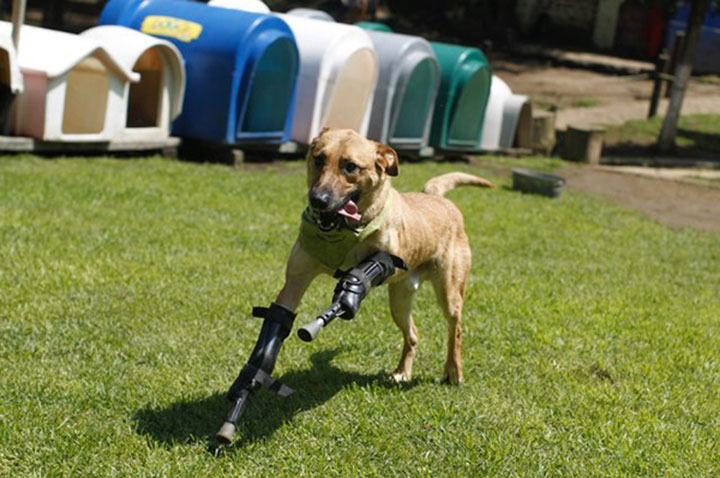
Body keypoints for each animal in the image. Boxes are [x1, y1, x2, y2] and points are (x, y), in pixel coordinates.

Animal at [272, 127, 492, 384]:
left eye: (351, 167)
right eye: (319, 159)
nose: (318, 199)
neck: (345, 232)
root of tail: (438, 197)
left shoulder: (389, 258)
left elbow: (371, 266)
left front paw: (353, 286)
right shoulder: (295, 281)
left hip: (450, 293)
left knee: (455, 329)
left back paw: (453, 371)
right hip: (399, 302)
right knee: (413, 334)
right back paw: (402, 371)